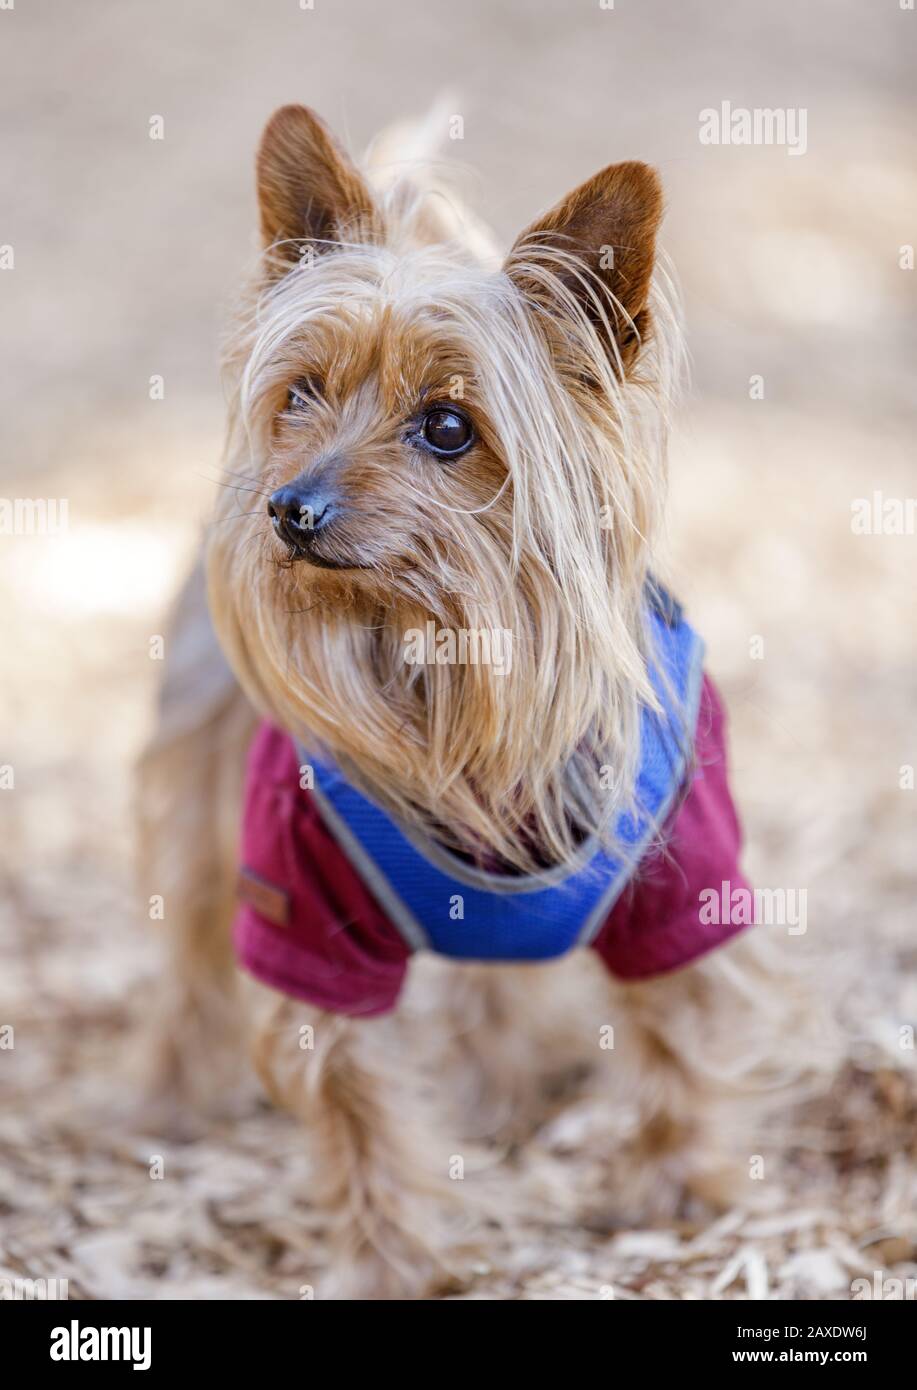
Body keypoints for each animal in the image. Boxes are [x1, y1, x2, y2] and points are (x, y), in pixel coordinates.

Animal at [138, 108, 833, 1301]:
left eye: (449, 428)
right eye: (299, 394)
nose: (288, 508)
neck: (444, 666)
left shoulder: (681, 874)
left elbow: (680, 1034)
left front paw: (673, 1189)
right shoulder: (305, 899)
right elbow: (356, 1100)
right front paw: (389, 1258)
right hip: (200, 782)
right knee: (188, 936)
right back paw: (175, 1099)